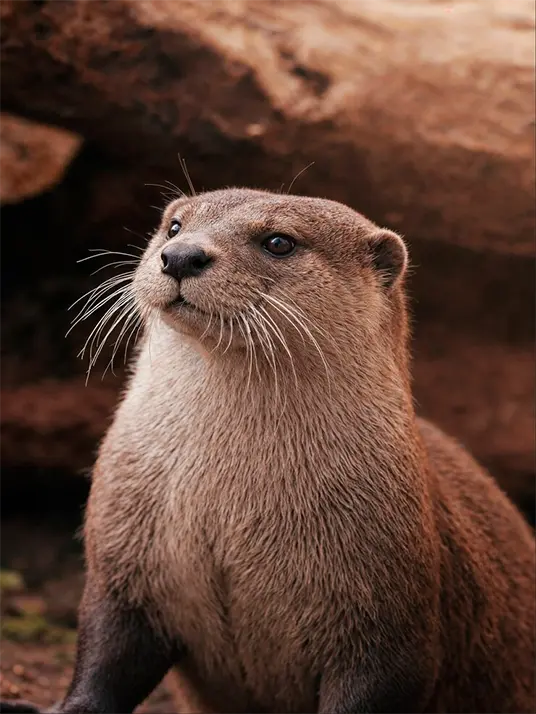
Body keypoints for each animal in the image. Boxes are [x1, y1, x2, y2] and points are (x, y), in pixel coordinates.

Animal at [1, 188, 534, 714]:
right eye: (174, 226)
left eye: (279, 241)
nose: (180, 255)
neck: (225, 501)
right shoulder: (121, 560)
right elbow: (104, 658)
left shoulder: (392, 622)